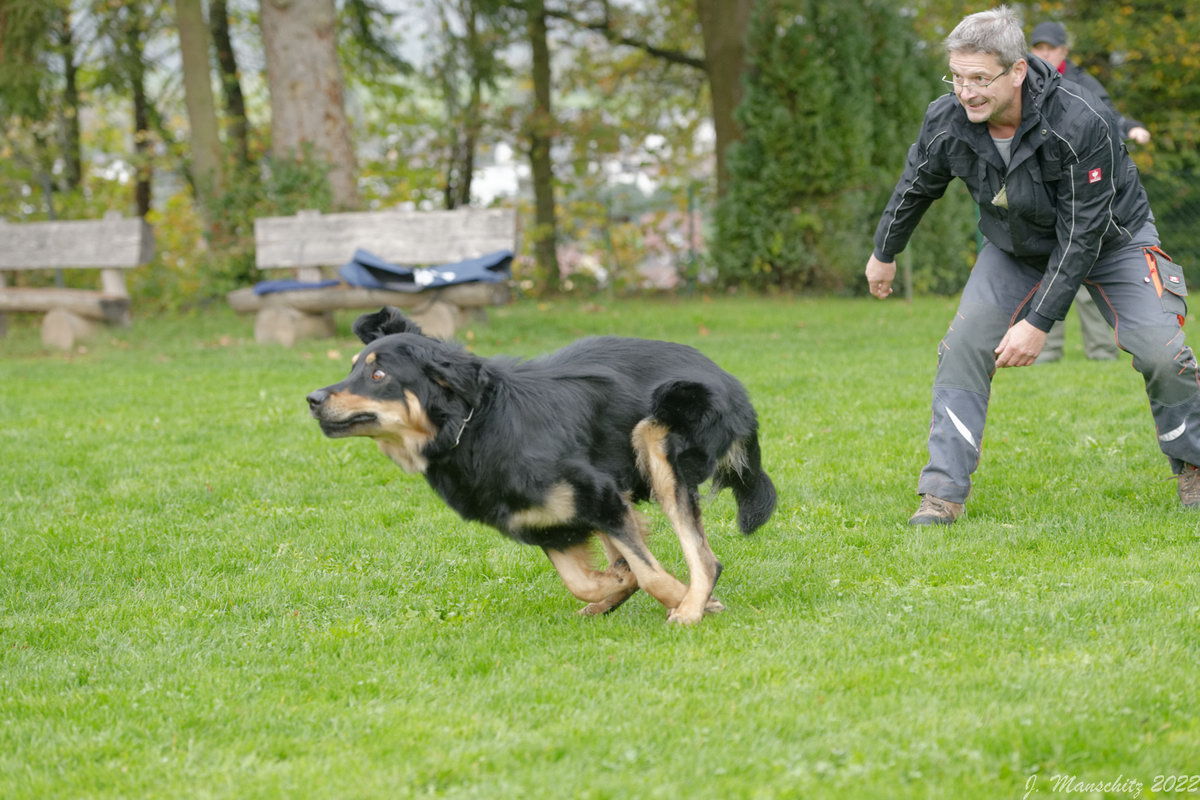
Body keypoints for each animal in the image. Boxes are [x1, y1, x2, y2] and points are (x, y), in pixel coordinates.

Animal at [307, 307, 777, 623]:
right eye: (353, 369)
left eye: (378, 376)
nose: (313, 398)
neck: (475, 427)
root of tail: (734, 385)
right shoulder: (546, 522)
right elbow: (587, 579)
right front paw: (613, 587)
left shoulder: (599, 496)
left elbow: (650, 574)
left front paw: (689, 603)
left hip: (657, 439)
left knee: (705, 559)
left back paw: (692, 603)